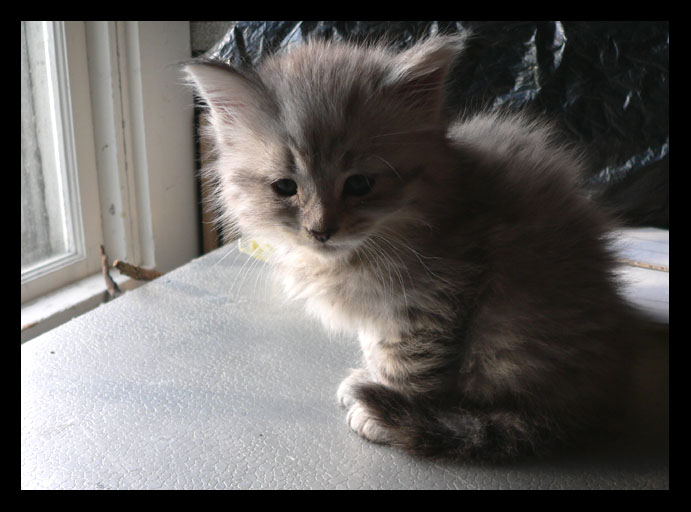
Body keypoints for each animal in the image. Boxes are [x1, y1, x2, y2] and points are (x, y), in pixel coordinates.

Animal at [185, 35, 644, 460]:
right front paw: (366, 380)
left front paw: (383, 411)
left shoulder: (434, 297)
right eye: (285, 188)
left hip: (513, 330)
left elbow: (407, 363)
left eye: (359, 184)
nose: (320, 231)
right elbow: (375, 344)